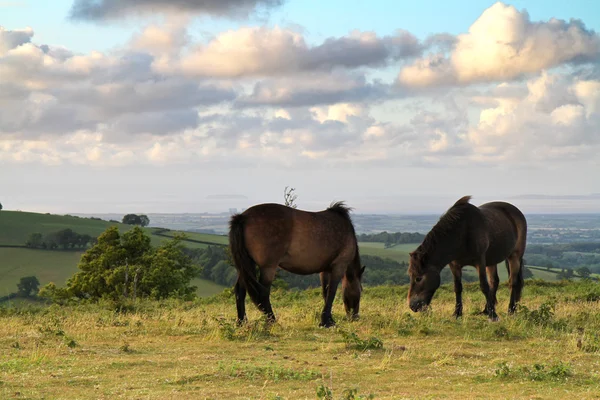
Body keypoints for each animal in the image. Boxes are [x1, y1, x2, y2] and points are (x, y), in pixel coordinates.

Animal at [227, 202, 364, 326]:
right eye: (360, 291)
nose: (355, 317)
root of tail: (242, 217)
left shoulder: (325, 270)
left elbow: (325, 292)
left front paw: (328, 319)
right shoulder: (339, 266)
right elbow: (331, 292)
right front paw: (327, 322)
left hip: (246, 265)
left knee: (240, 290)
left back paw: (241, 322)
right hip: (268, 267)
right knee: (263, 292)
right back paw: (272, 321)